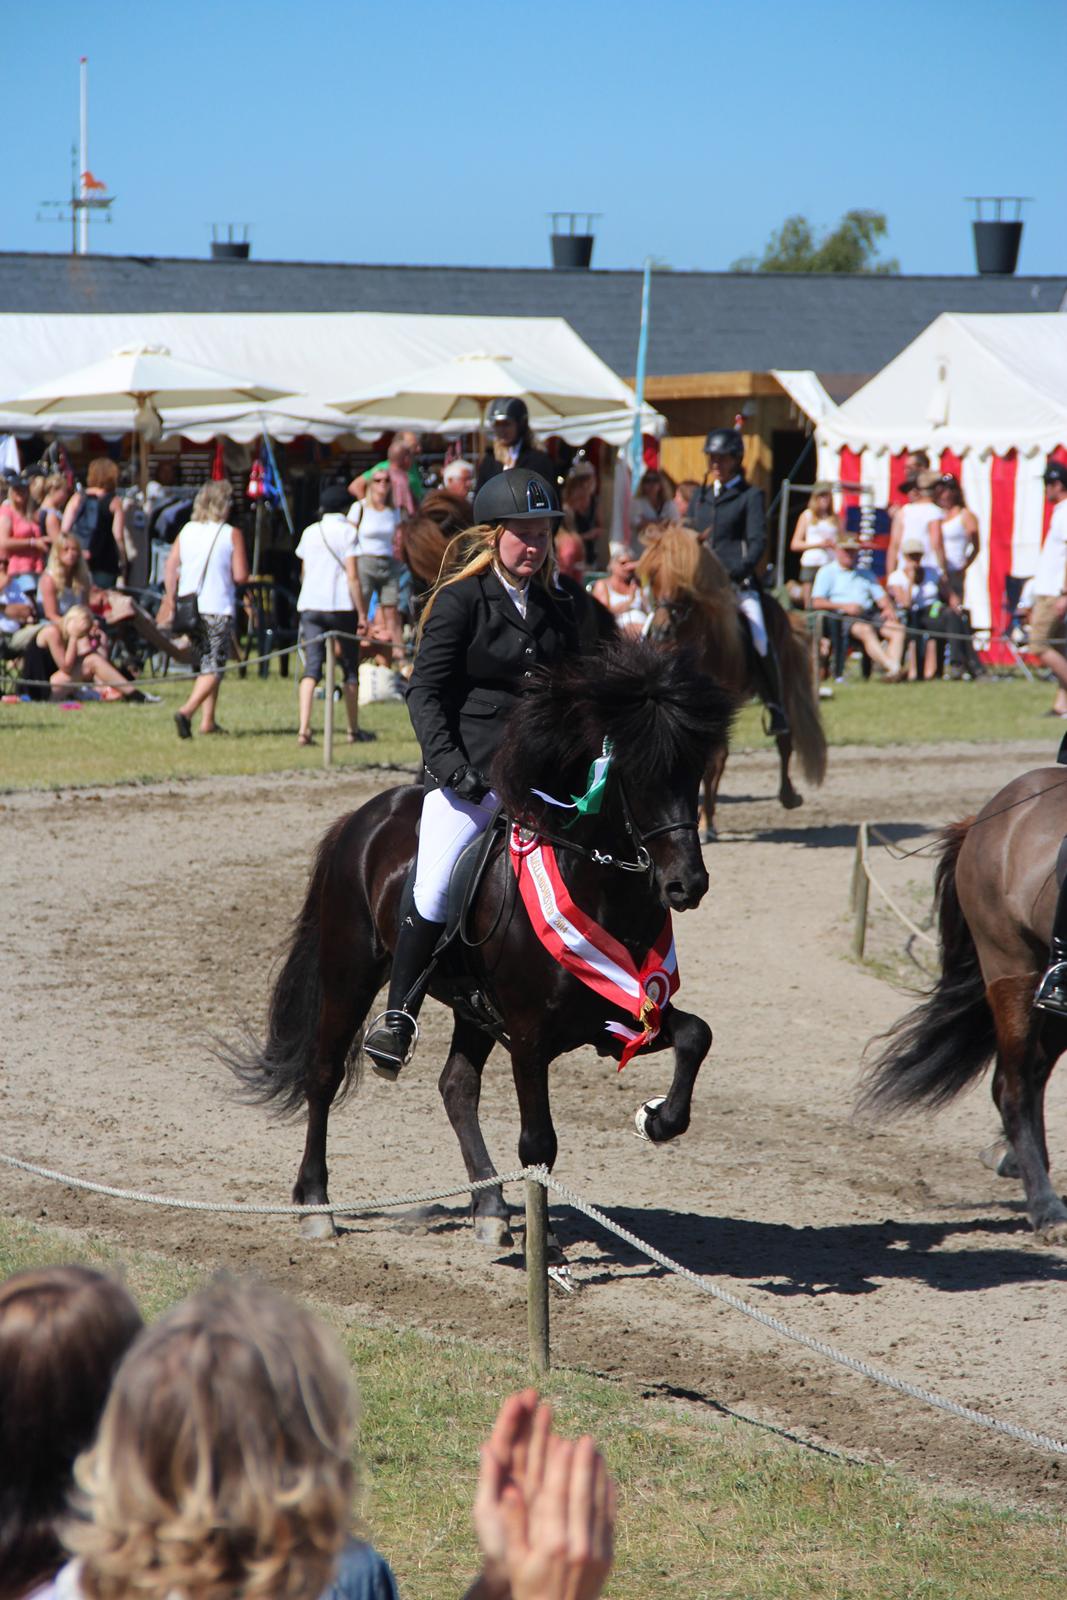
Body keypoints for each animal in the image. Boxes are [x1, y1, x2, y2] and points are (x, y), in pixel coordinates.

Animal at [231, 636, 735, 1248]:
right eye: (636, 778)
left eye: (694, 773)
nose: (688, 884)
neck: (599, 890)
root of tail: (364, 817)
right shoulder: (530, 1036)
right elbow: (538, 1144)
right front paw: (551, 1251)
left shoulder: (619, 1015)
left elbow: (696, 1035)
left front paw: (657, 1117)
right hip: (349, 972)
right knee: (324, 1074)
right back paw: (316, 1205)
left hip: (472, 1010)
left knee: (456, 1086)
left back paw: (491, 1208)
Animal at [639, 528, 831, 851]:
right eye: (653, 575)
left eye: (684, 581)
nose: (662, 632)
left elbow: (711, 763)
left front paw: (706, 824)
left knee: (783, 740)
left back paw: (788, 795)